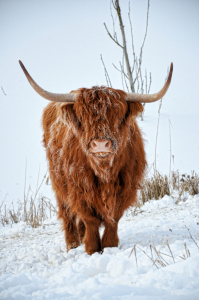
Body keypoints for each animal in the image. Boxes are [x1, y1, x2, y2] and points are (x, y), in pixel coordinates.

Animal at [19, 61, 173, 255]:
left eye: (117, 116)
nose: (100, 144)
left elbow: (113, 219)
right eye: (83, 117)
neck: (105, 171)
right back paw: (72, 243)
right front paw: (91, 249)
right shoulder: (79, 189)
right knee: (66, 212)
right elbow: (89, 219)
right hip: (59, 181)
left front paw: (109, 246)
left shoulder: (125, 187)